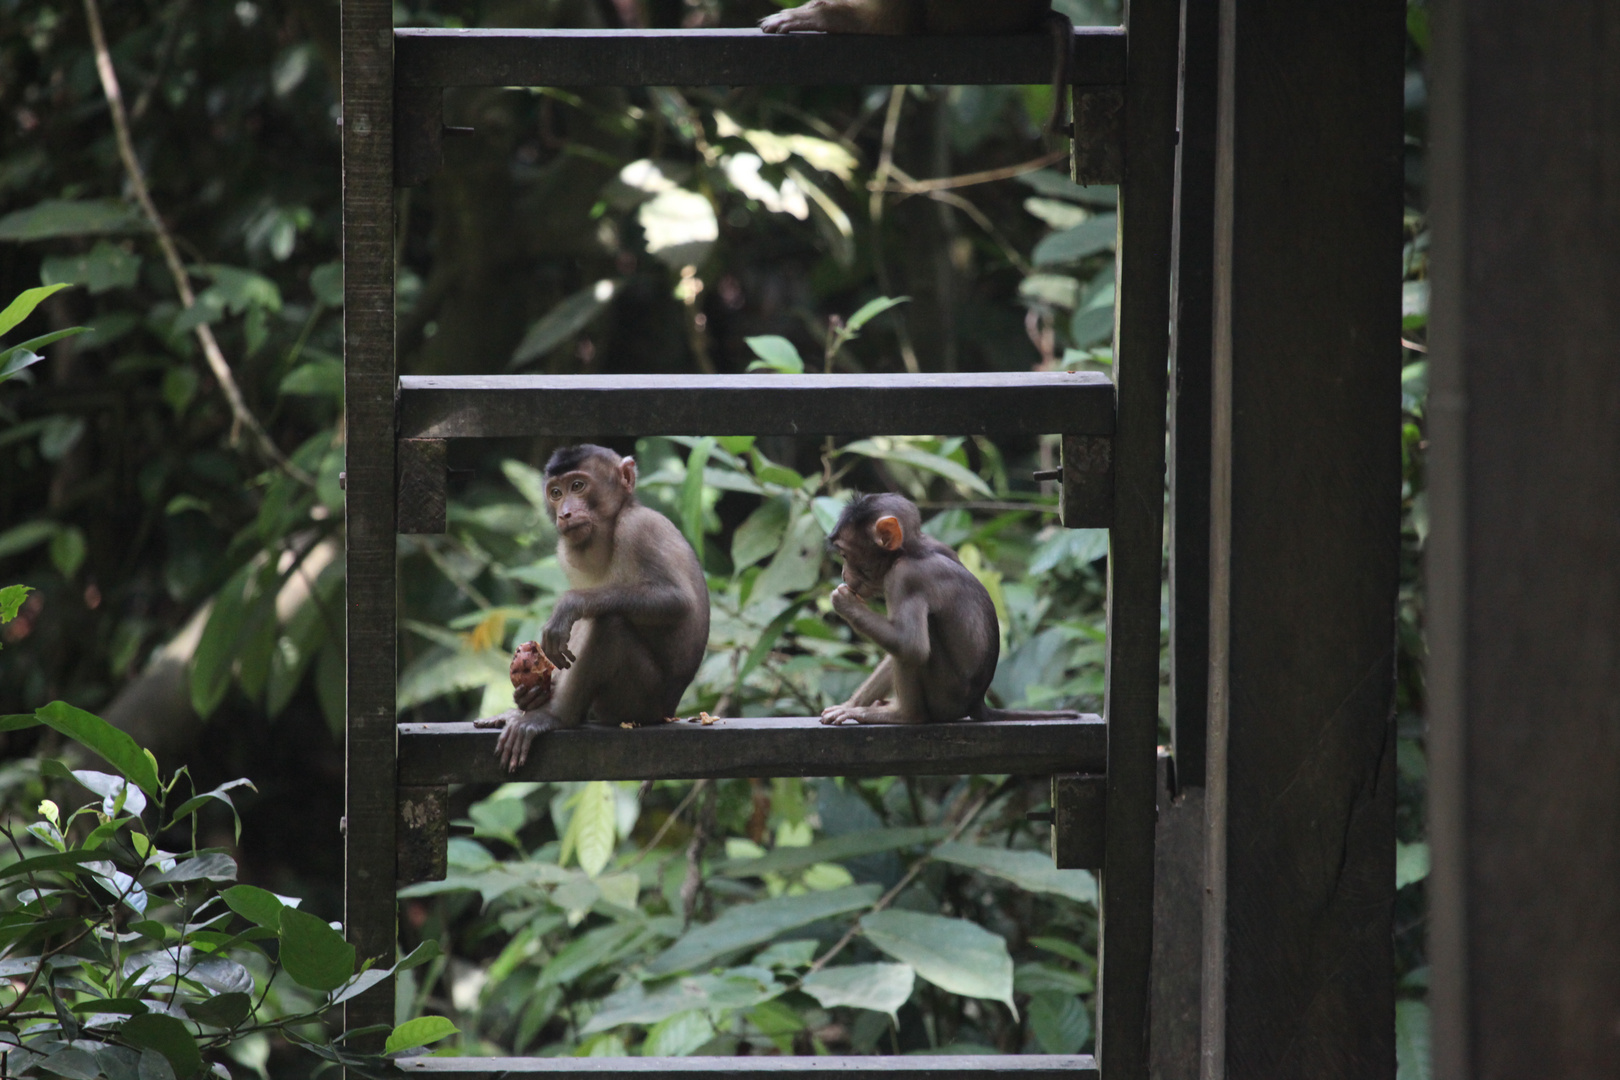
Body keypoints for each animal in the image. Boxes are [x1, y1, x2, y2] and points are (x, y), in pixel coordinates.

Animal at [476, 443, 712, 773]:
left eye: (578, 486)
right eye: (556, 493)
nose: (565, 513)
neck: (608, 531)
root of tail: (669, 710)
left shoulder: (641, 528)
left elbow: (676, 601)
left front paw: (570, 604)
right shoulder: (566, 553)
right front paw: (530, 696)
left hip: (637, 702)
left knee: (609, 625)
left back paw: (555, 716)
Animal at [829, 495, 1082, 725]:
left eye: (845, 554)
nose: (843, 573)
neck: (912, 550)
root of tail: (977, 702)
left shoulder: (905, 578)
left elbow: (910, 646)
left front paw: (845, 604)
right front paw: (850, 704)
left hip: (944, 696)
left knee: (919, 643)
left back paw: (903, 715)